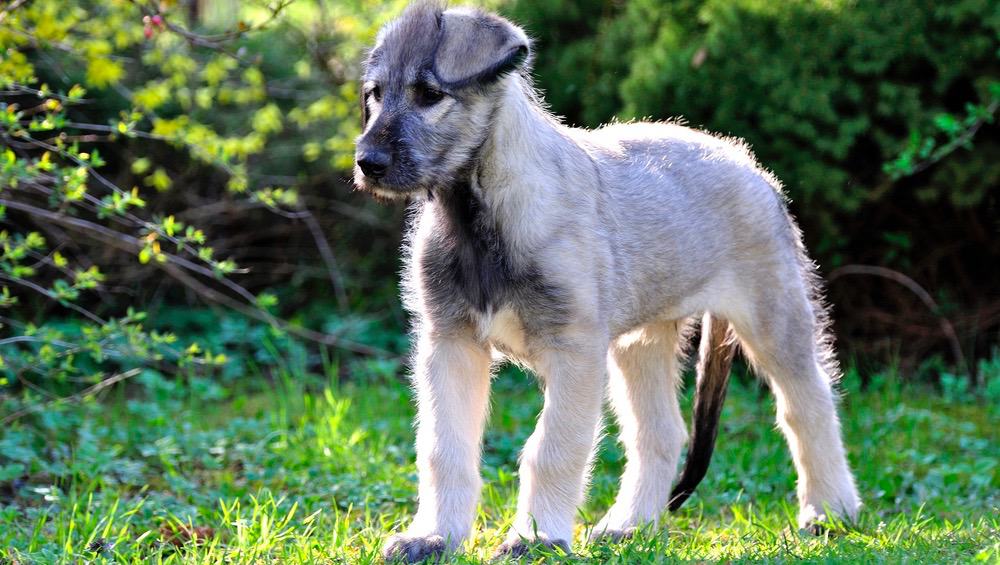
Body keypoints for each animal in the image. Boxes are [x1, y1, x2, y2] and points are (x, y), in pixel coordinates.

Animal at [354, 3, 860, 560]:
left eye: (429, 94)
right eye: (375, 94)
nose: (367, 163)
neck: (481, 217)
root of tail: (750, 166)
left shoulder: (573, 350)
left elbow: (552, 448)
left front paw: (537, 538)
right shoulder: (450, 341)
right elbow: (445, 449)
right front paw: (435, 536)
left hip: (774, 319)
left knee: (809, 406)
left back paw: (830, 512)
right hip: (642, 342)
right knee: (660, 432)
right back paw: (631, 525)